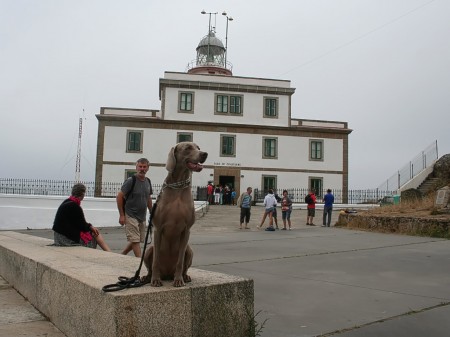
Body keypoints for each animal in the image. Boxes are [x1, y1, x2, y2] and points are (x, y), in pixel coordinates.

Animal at [143, 142, 208, 286]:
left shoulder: (186, 230)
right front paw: (155, 280)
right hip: (148, 250)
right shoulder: (158, 228)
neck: (178, 187)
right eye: (188, 148)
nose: (205, 154)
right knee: (151, 264)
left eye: (199, 148)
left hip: (190, 250)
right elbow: (156, 261)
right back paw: (148, 277)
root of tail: (167, 274)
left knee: (184, 265)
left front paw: (178, 280)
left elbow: (180, 261)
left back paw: (185, 277)